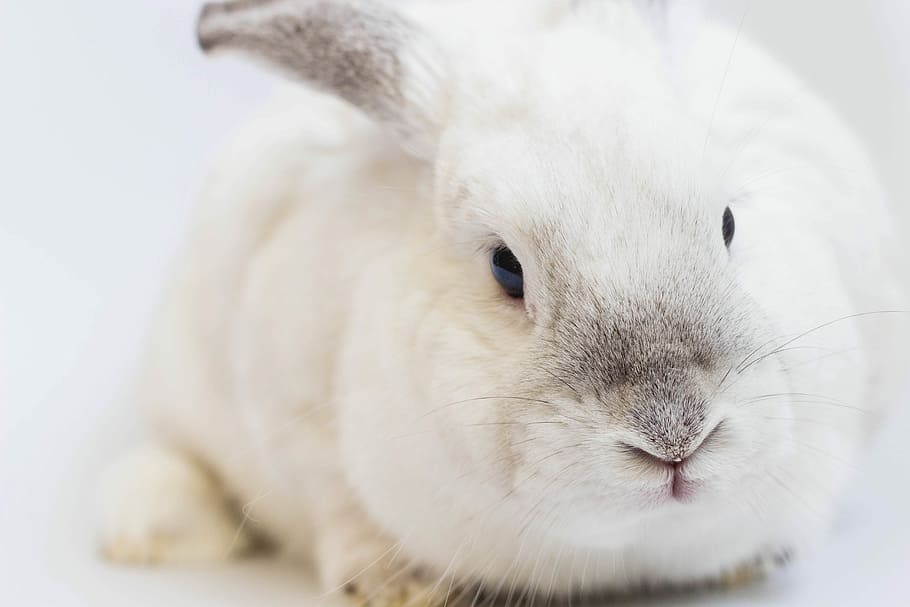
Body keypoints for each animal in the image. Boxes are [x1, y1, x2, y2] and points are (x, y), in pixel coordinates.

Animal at [99, 0, 909, 603]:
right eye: (506, 268)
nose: (675, 434)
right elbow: (337, 505)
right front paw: (398, 585)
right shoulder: (291, 412)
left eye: (730, 223)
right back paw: (143, 533)